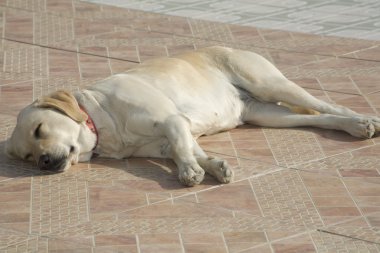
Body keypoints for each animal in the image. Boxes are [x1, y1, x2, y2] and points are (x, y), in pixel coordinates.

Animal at [4, 47, 378, 186]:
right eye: (28, 156)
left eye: (40, 130)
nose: (44, 163)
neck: (103, 122)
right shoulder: (174, 135)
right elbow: (191, 150)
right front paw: (214, 166)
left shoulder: (172, 122)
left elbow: (184, 151)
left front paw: (189, 172)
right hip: (268, 115)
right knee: (318, 118)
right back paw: (352, 127)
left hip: (271, 84)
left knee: (330, 106)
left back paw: (362, 122)